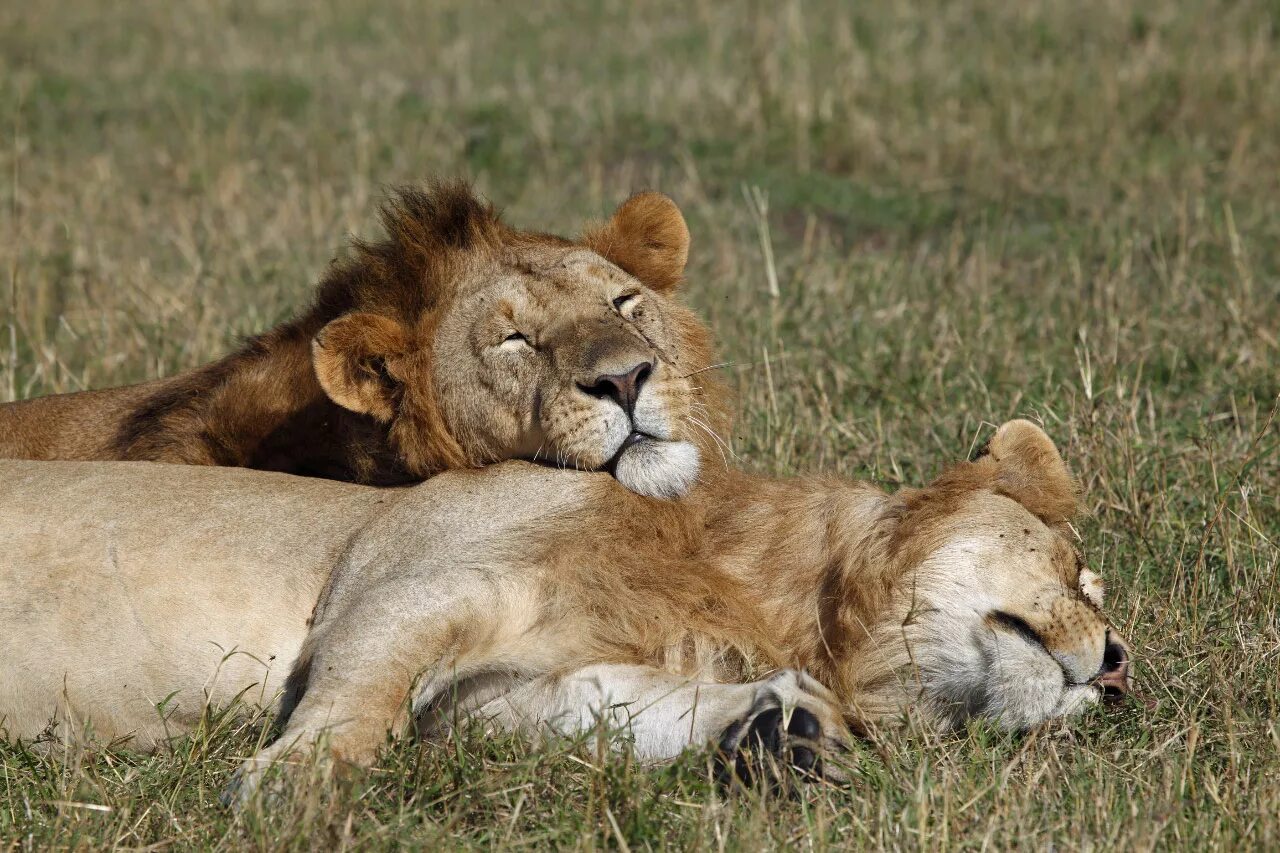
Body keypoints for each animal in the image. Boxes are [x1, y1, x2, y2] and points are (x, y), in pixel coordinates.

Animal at [0, 417, 1131, 788]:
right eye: (1077, 569)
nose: (1119, 666)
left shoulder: (487, 702)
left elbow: (609, 710)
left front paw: (784, 735)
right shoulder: (406, 579)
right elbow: (361, 690)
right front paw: (292, 787)